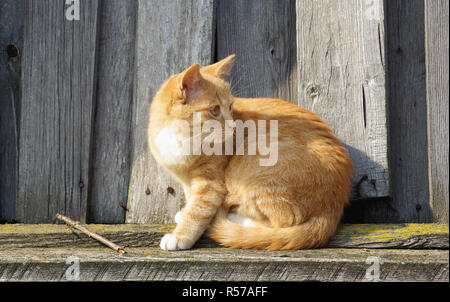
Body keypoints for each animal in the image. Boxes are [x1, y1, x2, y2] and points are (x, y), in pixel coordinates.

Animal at [149, 54, 354, 250]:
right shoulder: (186, 180)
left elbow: (198, 210)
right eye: (214, 110)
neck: (180, 139)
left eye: (230, 107)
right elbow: (192, 199)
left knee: (280, 223)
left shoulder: (211, 184)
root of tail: (331, 209)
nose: (233, 126)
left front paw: (180, 235)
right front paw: (184, 213)